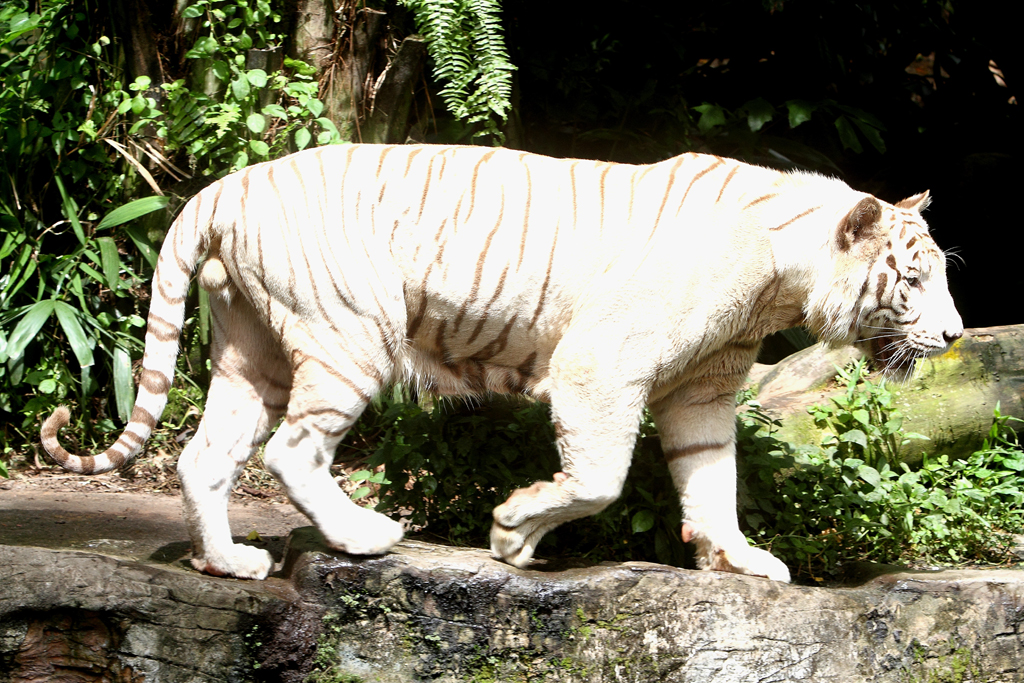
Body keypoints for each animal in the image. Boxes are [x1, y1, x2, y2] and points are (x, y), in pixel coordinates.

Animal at [41, 144, 958, 581]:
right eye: (913, 279)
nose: (953, 336)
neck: (782, 280)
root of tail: (223, 186)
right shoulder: (601, 364)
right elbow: (600, 479)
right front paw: (514, 532)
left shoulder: (703, 390)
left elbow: (712, 480)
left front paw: (738, 558)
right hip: (351, 336)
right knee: (291, 450)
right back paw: (365, 534)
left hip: (251, 352)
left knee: (206, 455)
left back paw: (228, 561)